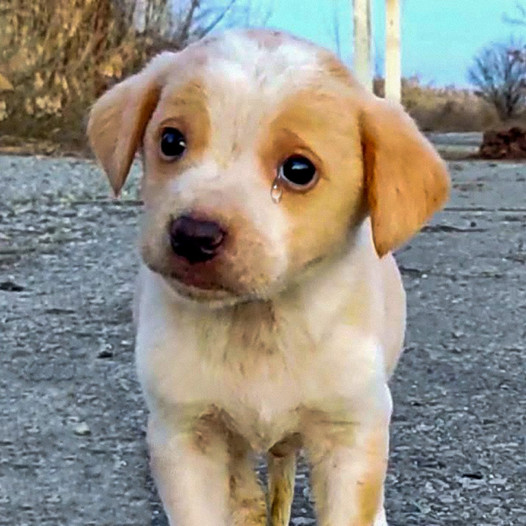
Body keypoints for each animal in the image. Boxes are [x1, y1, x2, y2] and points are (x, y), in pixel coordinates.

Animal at [88, 29, 452, 526]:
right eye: (171, 140)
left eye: (298, 170)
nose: (193, 235)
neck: (260, 321)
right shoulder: (183, 434)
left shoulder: (351, 434)